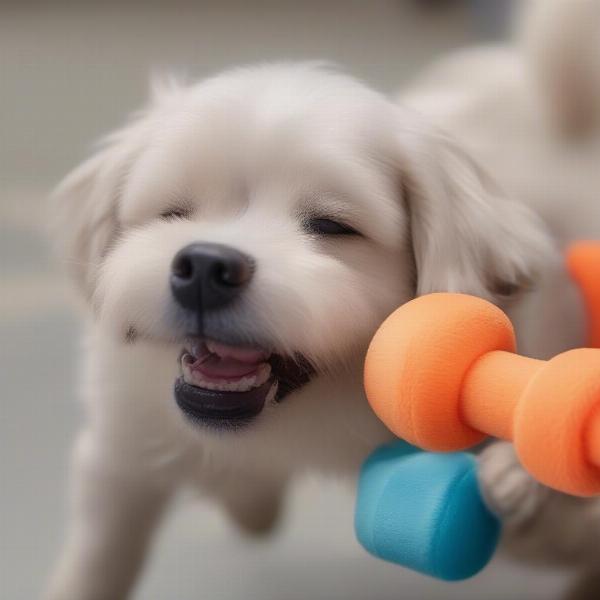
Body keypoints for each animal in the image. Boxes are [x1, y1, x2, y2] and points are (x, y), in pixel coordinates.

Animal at [45, 1, 600, 600]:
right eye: (174, 213)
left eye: (331, 226)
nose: (205, 268)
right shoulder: (122, 446)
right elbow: (98, 560)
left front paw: (520, 483)